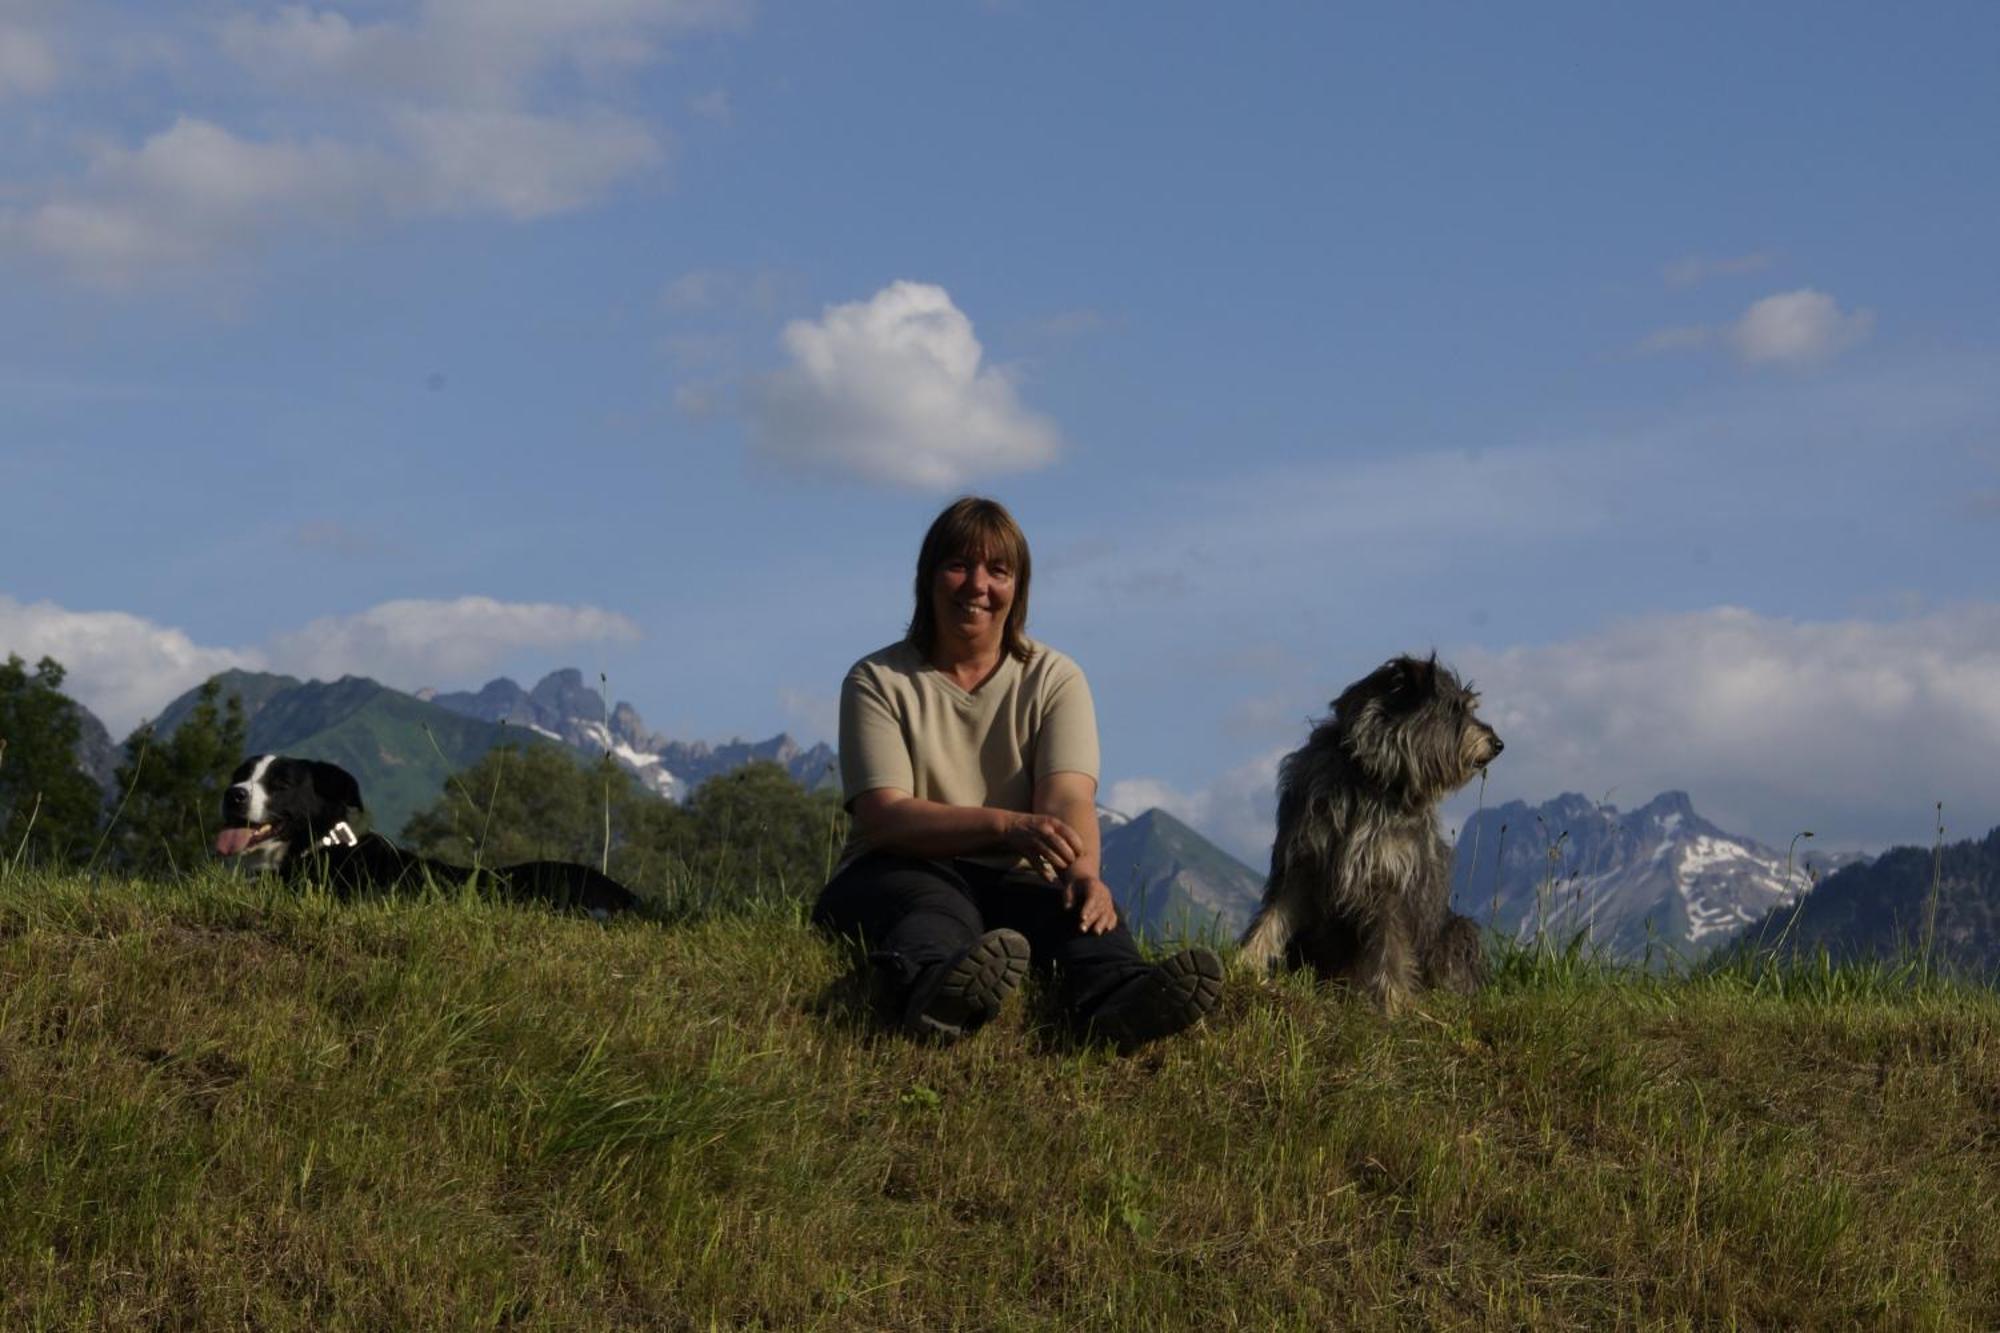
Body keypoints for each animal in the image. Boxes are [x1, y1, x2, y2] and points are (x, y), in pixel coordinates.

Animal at [1232, 652, 1504, 1008]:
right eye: (1454, 708)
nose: (1498, 744)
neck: (1368, 777)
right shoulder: (1301, 864)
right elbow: (1270, 919)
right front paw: (1242, 964)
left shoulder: (1389, 879)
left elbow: (1390, 948)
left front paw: (1393, 1004)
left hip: (1457, 929)